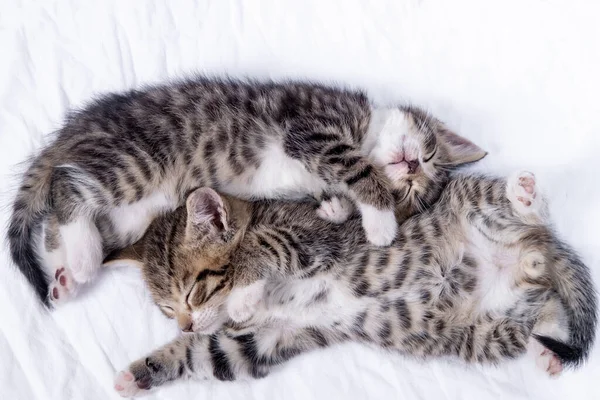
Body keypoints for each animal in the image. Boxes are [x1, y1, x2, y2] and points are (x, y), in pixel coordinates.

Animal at [7, 76, 486, 306]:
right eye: (429, 155)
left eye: (412, 191)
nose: (410, 168)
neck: (366, 130)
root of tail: (80, 127)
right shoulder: (312, 127)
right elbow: (355, 166)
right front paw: (381, 222)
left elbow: (323, 203)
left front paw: (339, 208)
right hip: (137, 163)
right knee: (65, 186)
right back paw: (83, 257)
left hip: (137, 211)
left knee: (58, 220)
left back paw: (68, 275)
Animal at [104, 170, 596, 396]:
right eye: (167, 309)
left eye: (194, 292)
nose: (185, 324)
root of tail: (529, 253)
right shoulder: (266, 339)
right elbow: (210, 354)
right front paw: (137, 374)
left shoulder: (313, 236)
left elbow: (263, 248)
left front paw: (243, 293)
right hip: (483, 335)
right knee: (542, 307)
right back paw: (546, 350)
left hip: (473, 198)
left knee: (531, 217)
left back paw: (524, 196)